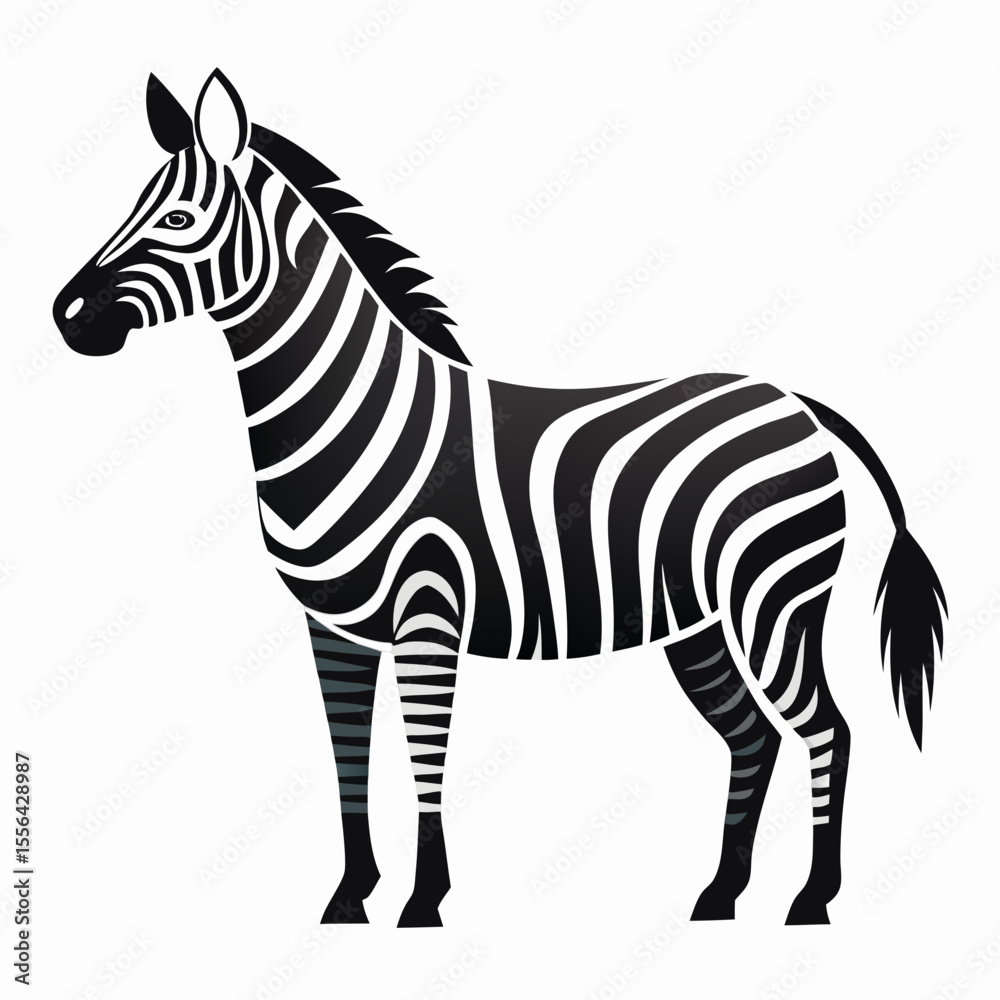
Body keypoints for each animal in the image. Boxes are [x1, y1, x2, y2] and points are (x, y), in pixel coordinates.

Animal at [52, 70, 946, 927]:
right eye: (130, 208)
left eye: (176, 218)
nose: (66, 316)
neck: (352, 415)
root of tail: (794, 400)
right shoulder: (332, 626)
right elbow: (349, 757)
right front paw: (349, 900)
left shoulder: (427, 613)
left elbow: (425, 756)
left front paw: (422, 902)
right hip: (698, 623)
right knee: (753, 737)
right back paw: (721, 895)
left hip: (774, 599)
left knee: (826, 728)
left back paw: (811, 900)